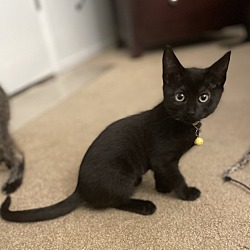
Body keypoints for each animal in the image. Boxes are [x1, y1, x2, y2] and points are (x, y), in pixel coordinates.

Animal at [0, 47, 230, 223]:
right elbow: (177, 176)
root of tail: (80, 188)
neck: (183, 124)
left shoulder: (160, 162)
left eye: (203, 97)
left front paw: (162, 188)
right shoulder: (163, 159)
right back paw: (144, 205)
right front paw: (186, 193)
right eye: (180, 96)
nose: (191, 111)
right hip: (121, 175)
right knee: (114, 201)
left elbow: (161, 173)